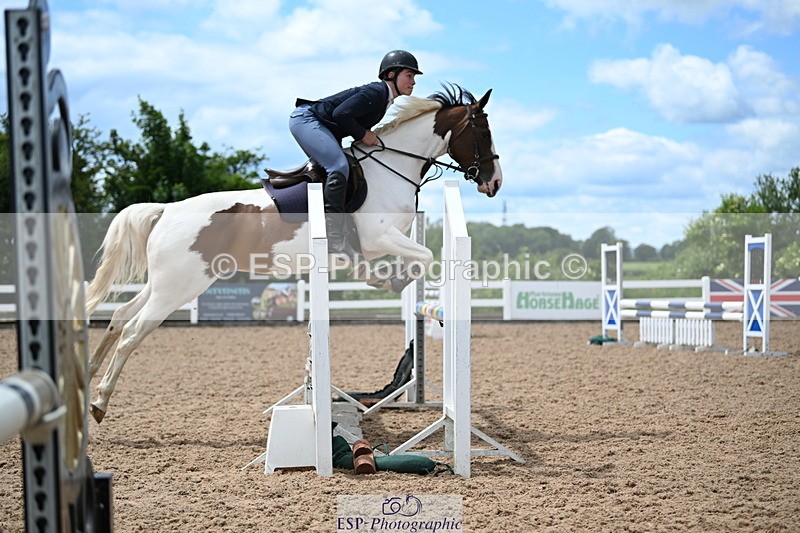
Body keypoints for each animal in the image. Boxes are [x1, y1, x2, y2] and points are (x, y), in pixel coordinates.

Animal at [84, 84, 503, 423]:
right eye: (483, 132)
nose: (494, 182)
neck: (391, 168)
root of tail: (167, 209)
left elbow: (415, 259)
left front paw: (384, 278)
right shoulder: (378, 236)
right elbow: (424, 257)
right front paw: (387, 279)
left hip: (163, 283)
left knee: (119, 317)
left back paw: (88, 376)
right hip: (180, 287)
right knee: (132, 332)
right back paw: (99, 402)